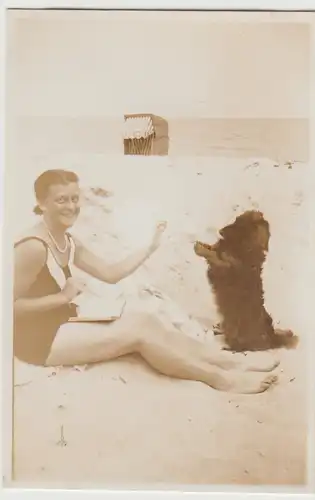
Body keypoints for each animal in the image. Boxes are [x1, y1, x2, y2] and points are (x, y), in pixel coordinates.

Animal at [194, 211, 300, 352]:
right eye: (236, 219)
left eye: (240, 225)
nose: (220, 231)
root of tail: (272, 339)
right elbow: (213, 249)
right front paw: (202, 246)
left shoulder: (227, 267)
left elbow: (217, 257)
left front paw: (201, 249)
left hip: (235, 327)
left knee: (241, 346)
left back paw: (228, 346)